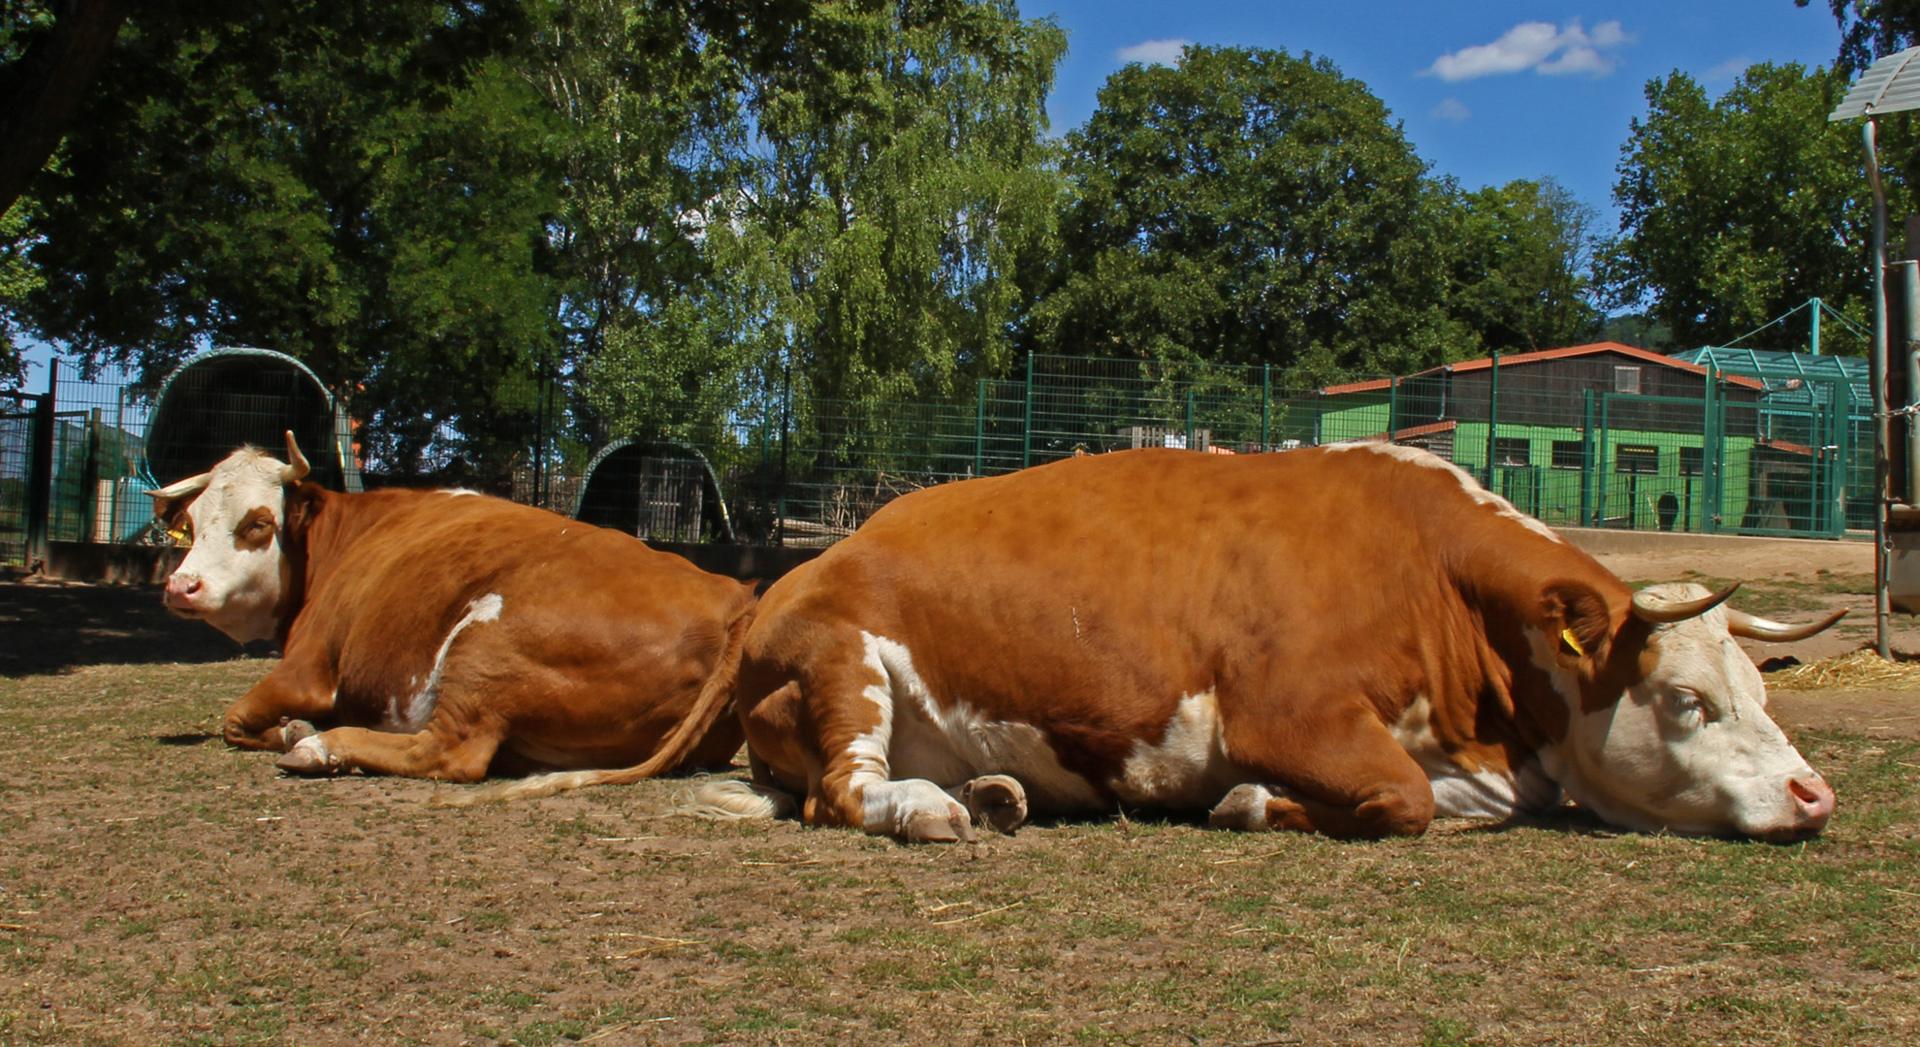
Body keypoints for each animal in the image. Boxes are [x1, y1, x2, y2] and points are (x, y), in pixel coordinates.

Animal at [148, 433, 753, 793]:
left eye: (257, 523)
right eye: (193, 521)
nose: (181, 586)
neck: (342, 538)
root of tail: (731, 600)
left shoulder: (306, 668)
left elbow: (236, 720)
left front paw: (293, 729)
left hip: (485, 645)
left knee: (446, 752)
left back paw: (321, 747)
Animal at [689, 444, 1843, 843]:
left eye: (1764, 691)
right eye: (1687, 700)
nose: (1814, 794)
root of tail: (803, 568)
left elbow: (1468, 801)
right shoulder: (1288, 713)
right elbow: (1402, 801)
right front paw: (1250, 801)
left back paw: (996, 791)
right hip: (840, 661)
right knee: (844, 791)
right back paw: (929, 810)